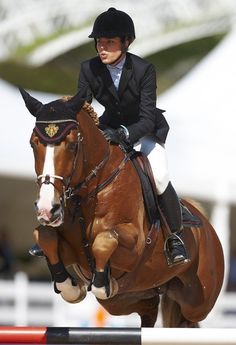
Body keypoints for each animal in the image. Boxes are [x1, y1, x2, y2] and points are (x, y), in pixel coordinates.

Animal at [19, 87, 224, 326]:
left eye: (72, 145)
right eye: (33, 144)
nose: (46, 209)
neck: (88, 193)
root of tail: (207, 227)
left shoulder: (135, 247)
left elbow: (105, 240)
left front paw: (102, 283)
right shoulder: (73, 253)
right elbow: (44, 235)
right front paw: (70, 287)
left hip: (198, 300)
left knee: (189, 317)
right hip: (125, 300)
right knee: (149, 307)